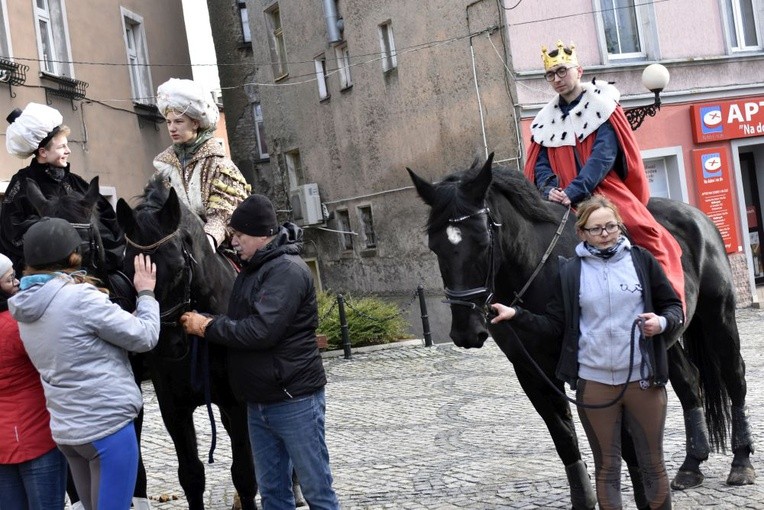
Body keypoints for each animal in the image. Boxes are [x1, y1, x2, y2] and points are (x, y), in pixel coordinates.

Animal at [115, 176, 255, 510]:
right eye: (127, 270)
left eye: (179, 267)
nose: (167, 346)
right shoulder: (174, 408)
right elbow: (191, 475)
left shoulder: (237, 402)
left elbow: (244, 472)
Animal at [408, 155, 756, 510]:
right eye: (435, 246)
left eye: (482, 240)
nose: (466, 331)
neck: (539, 267)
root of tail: (698, 216)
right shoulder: (531, 372)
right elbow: (564, 436)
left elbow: (622, 440)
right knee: (689, 381)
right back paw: (691, 465)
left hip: (718, 317)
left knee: (735, 377)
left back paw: (741, 462)